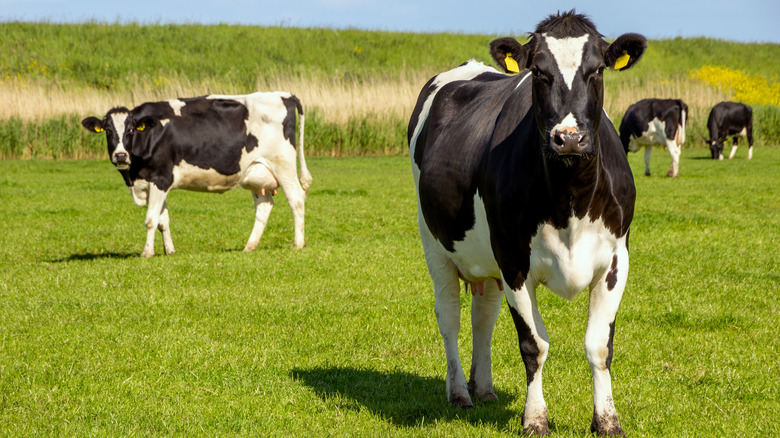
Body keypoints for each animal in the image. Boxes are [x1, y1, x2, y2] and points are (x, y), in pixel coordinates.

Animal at [79, 91, 310, 256]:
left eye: (130, 130)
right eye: (108, 131)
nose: (120, 155)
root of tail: (284, 94)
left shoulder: (161, 179)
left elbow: (151, 219)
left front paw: (147, 252)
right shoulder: (156, 183)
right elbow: (163, 220)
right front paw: (169, 251)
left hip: (283, 164)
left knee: (297, 199)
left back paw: (298, 244)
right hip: (256, 172)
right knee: (264, 207)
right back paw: (249, 246)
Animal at [408, 11, 644, 438]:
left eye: (597, 70)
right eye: (538, 71)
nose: (569, 137)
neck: (570, 199)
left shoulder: (617, 260)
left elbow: (599, 345)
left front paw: (607, 420)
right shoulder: (514, 260)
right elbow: (535, 345)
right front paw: (535, 418)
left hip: (487, 260)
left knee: (483, 317)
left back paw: (483, 388)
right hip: (436, 245)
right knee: (450, 317)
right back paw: (459, 392)